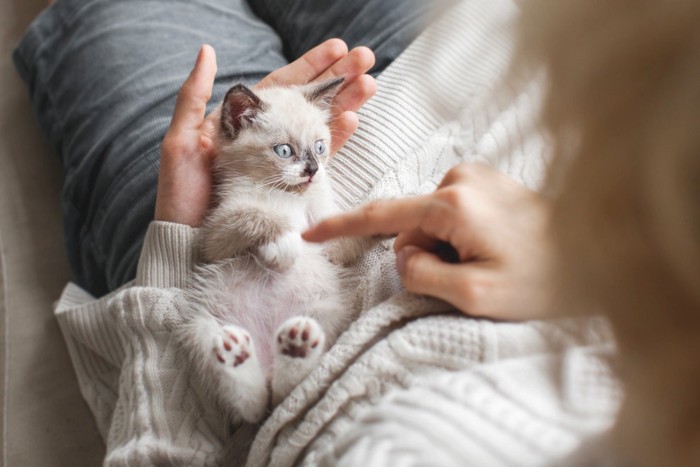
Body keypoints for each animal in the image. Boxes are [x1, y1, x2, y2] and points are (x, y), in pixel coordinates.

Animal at [179, 79, 366, 424]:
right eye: (284, 151)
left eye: (320, 147)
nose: (313, 170)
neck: (283, 193)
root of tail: (267, 363)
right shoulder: (214, 236)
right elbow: (257, 215)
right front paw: (284, 245)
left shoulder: (331, 236)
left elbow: (354, 225)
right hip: (200, 328)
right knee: (255, 406)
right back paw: (238, 357)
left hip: (327, 310)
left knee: (282, 394)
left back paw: (295, 348)